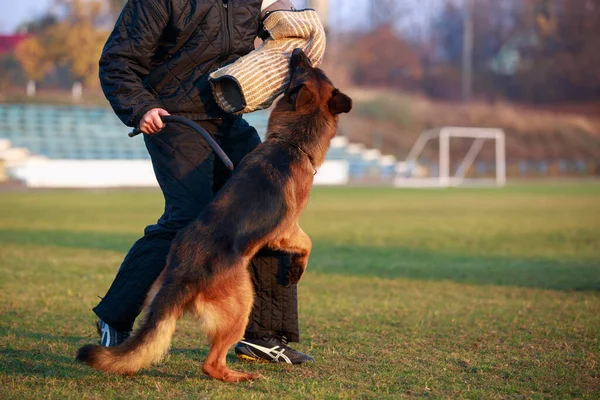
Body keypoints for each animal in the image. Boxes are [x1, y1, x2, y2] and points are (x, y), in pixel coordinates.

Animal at [75, 49, 352, 382]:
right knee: (211, 363)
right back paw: (239, 377)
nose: (298, 51)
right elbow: (308, 243)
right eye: (305, 68)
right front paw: (296, 270)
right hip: (242, 302)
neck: (291, 142)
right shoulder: (286, 230)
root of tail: (183, 275)